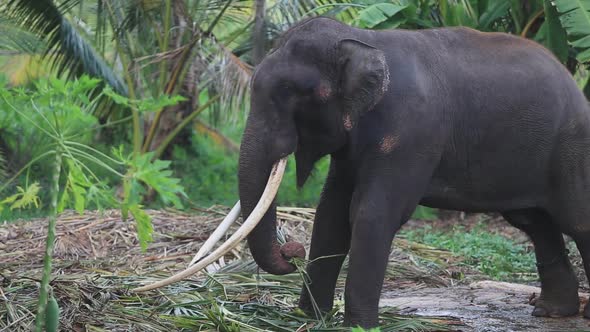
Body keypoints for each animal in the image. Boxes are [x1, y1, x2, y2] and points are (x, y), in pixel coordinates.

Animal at [136, 14, 590, 326]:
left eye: (293, 93)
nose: (290, 252)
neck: (364, 40)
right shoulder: (352, 148)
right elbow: (331, 213)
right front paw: (310, 318)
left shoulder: (411, 132)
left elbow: (371, 214)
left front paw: (359, 326)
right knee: (534, 222)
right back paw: (552, 313)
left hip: (571, 149)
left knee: (575, 221)